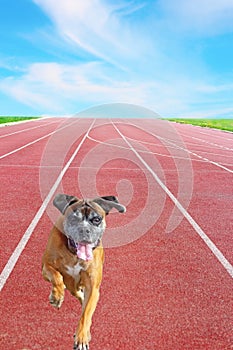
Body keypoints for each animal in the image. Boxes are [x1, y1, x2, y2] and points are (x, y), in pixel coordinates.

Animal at [41, 194, 125, 350]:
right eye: (74, 219)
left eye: (96, 219)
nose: (84, 230)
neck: (74, 253)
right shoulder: (46, 266)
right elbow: (56, 276)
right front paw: (56, 296)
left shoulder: (93, 288)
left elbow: (85, 314)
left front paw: (81, 337)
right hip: (71, 286)